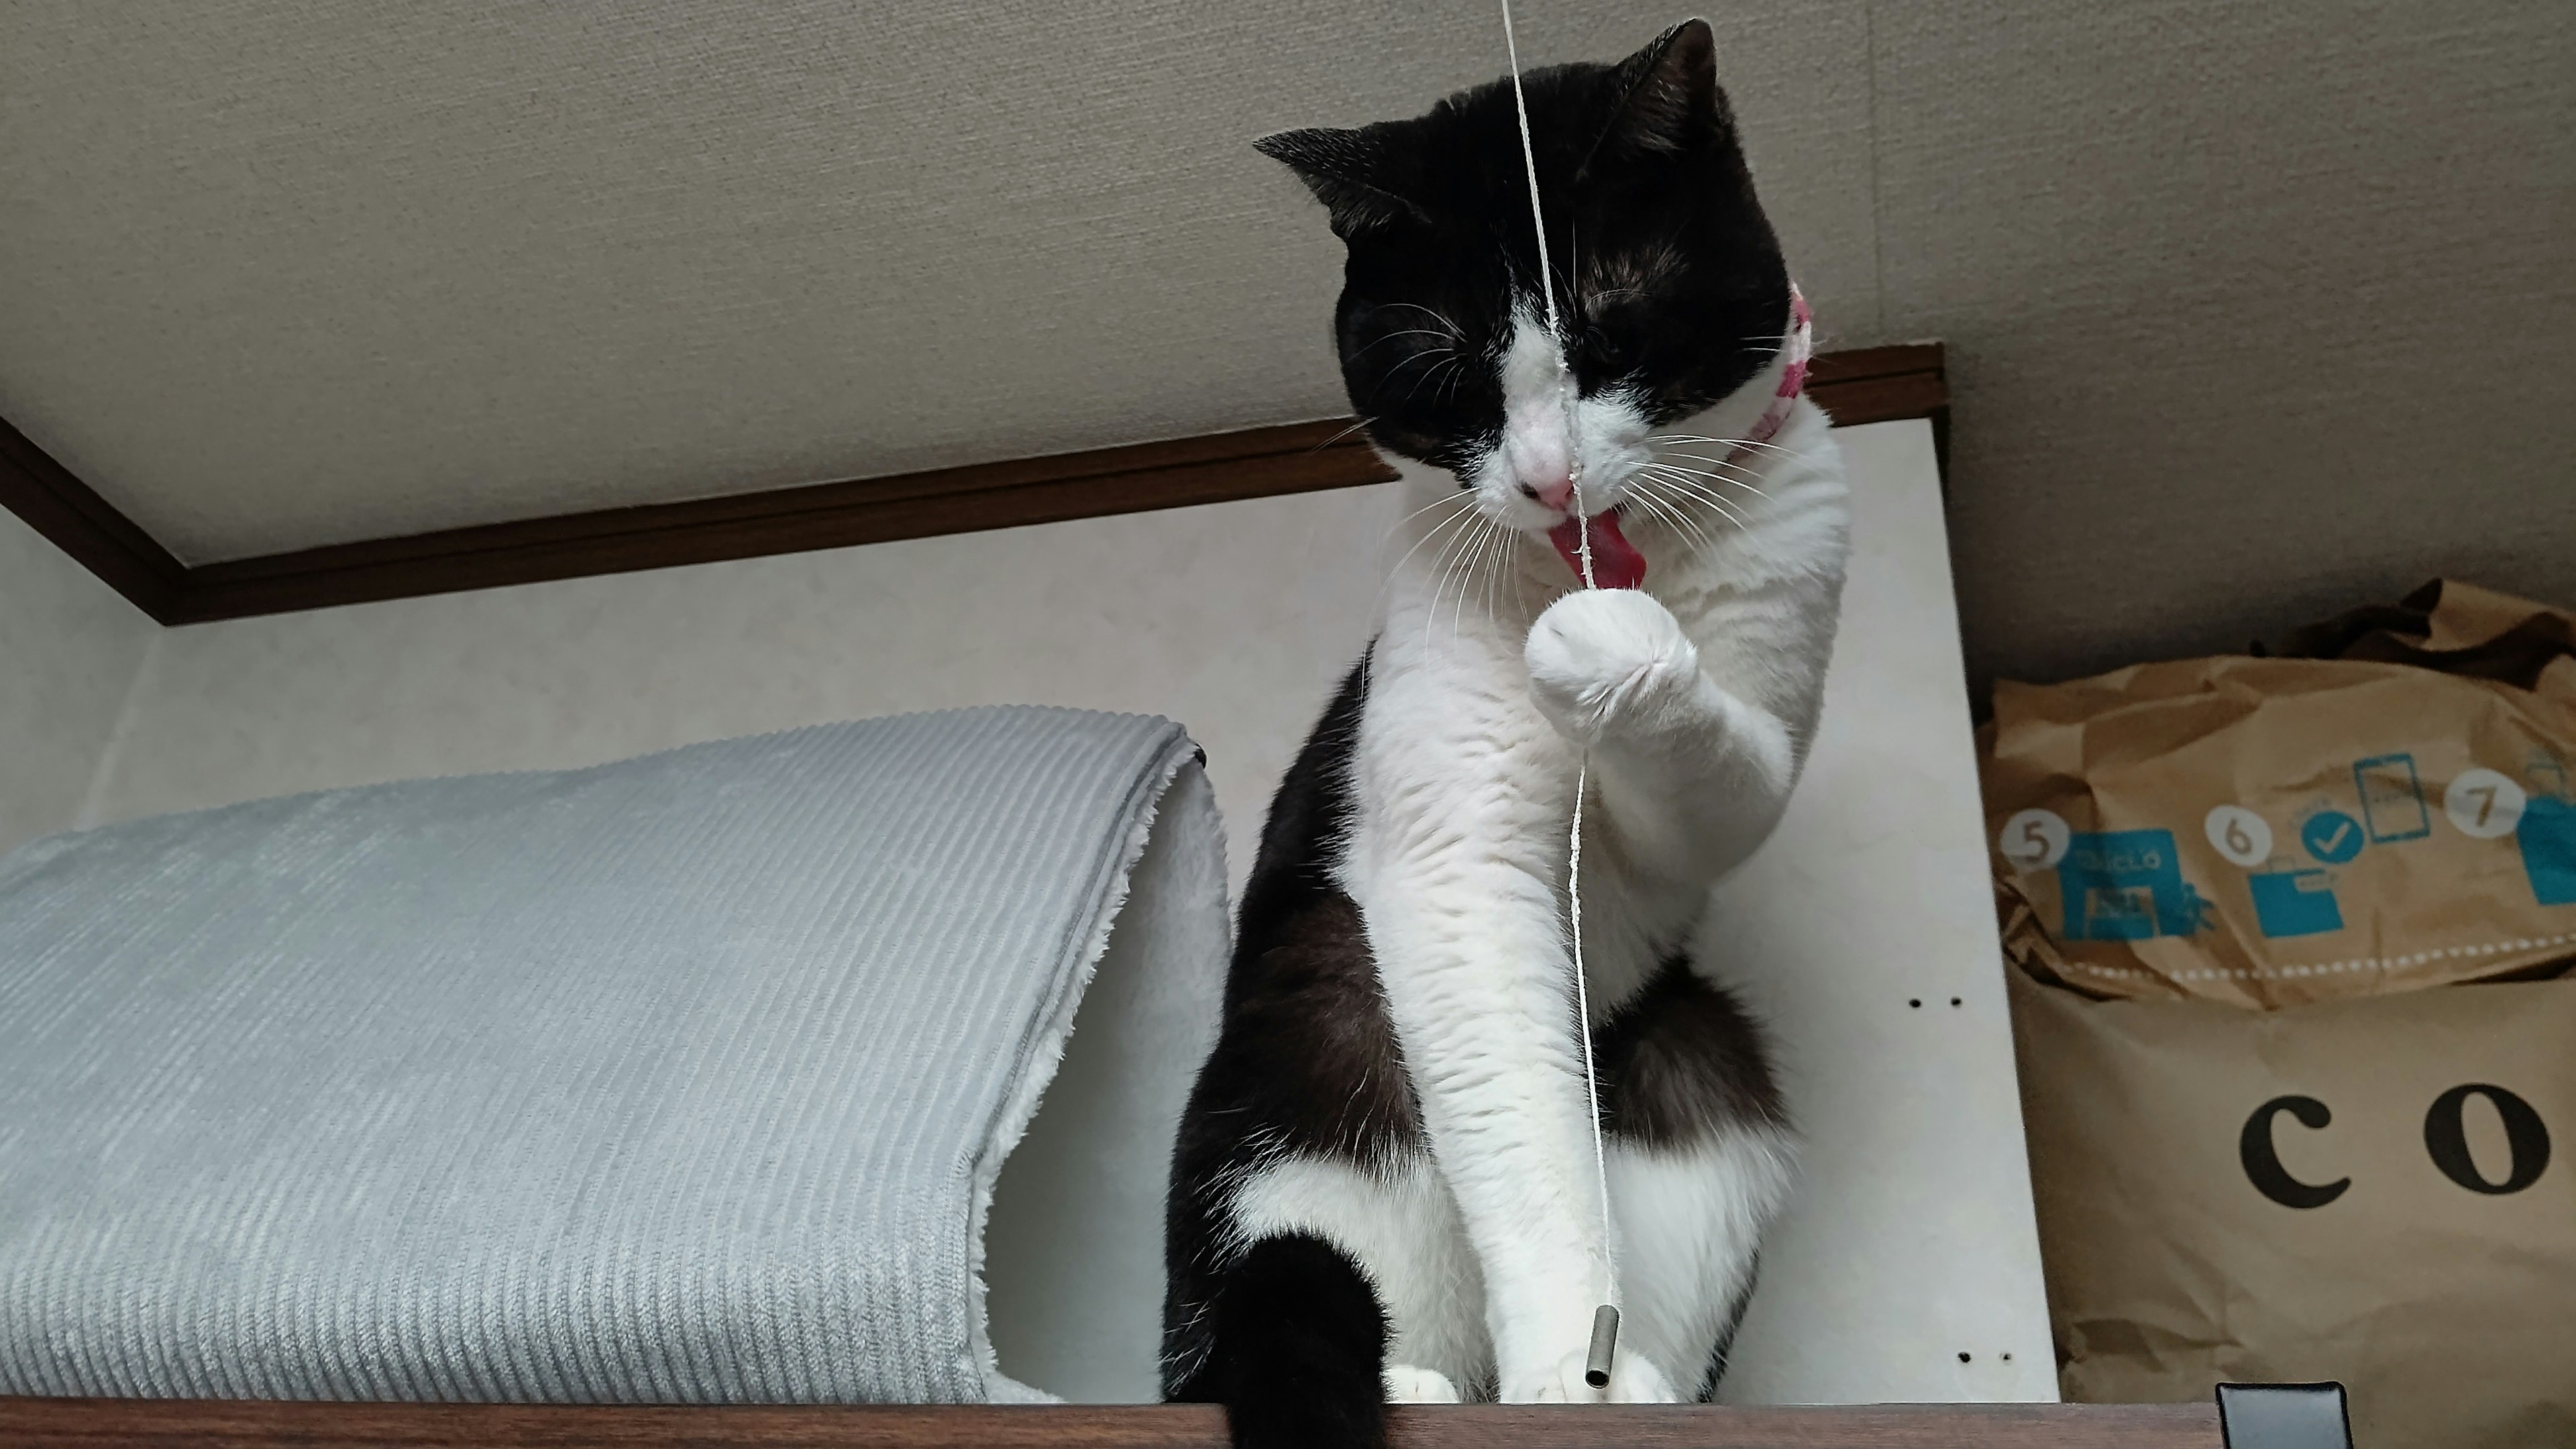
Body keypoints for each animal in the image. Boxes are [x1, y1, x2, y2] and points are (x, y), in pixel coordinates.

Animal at [1169, 22, 1854, 1444]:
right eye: (1449, 381)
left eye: (1610, 332)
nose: (1544, 479)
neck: (1614, 557)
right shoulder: (1453, 864)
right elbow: (1526, 1140)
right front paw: (1562, 1370)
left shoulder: (1758, 735)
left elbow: (1723, 776)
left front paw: (1612, 653)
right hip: (1316, 1048)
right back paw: (1428, 1379)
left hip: (1691, 1061)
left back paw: (1638, 1384)